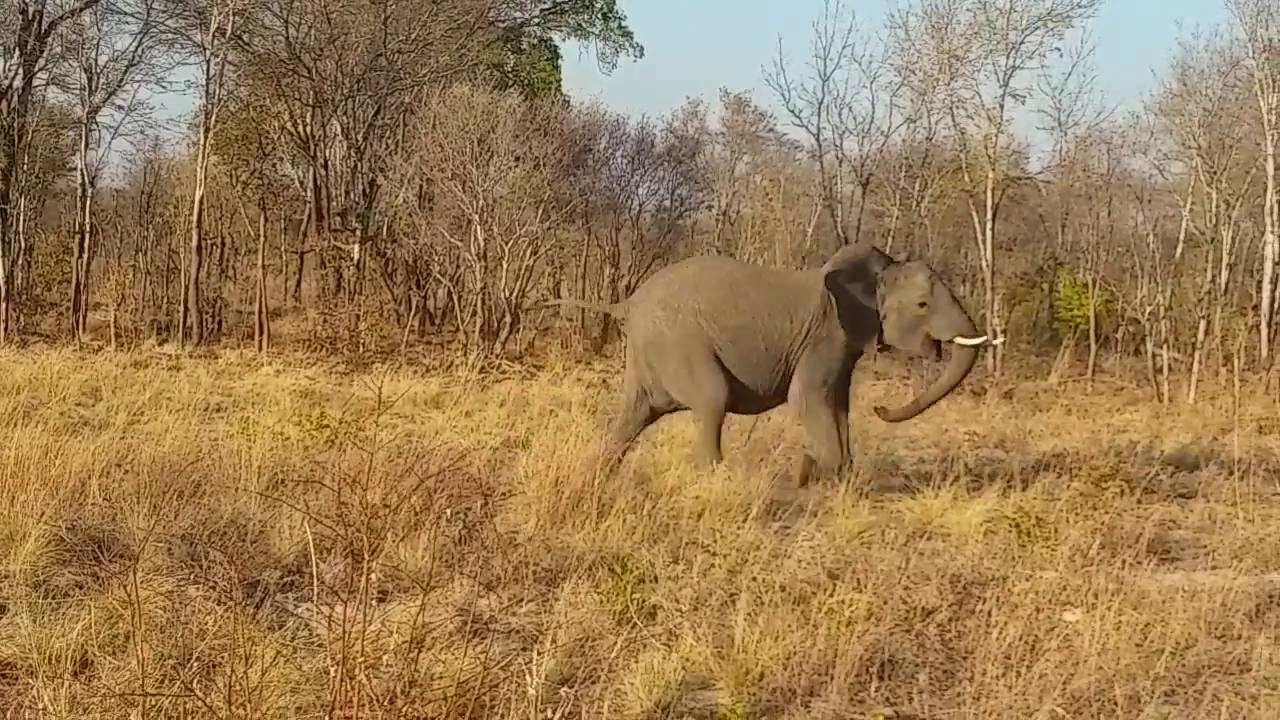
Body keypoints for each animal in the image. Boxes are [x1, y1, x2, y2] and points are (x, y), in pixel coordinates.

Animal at [546, 242, 995, 483]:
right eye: (922, 305)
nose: (882, 408)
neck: (877, 271)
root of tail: (628, 302)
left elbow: (838, 405)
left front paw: (834, 474)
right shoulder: (826, 336)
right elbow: (807, 400)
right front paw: (808, 470)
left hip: (650, 352)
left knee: (633, 416)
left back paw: (599, 475)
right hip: (679, 342)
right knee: (712, 399)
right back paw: (718, 479)